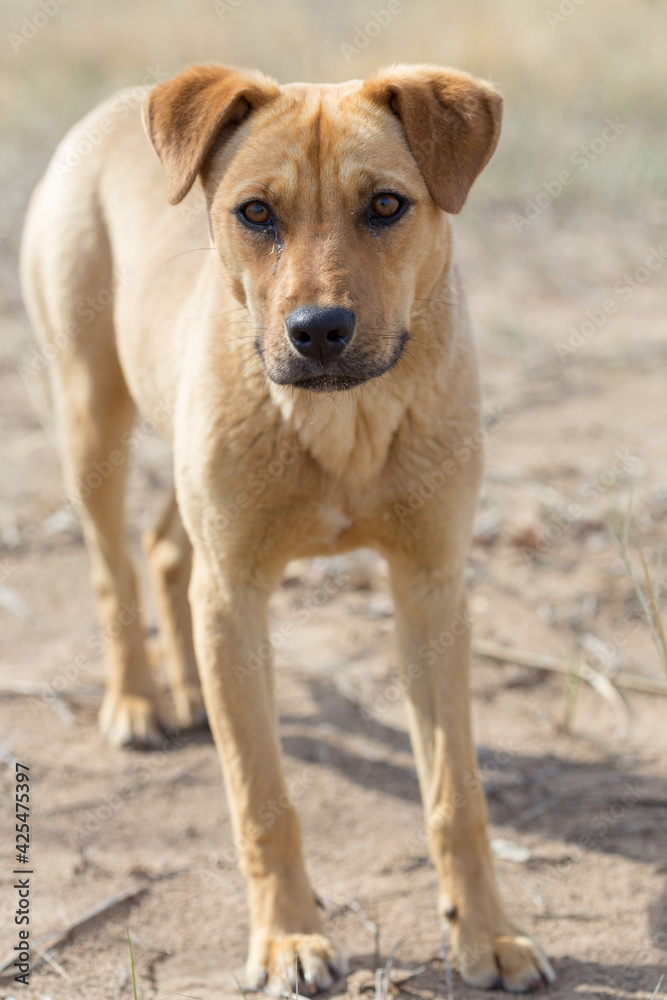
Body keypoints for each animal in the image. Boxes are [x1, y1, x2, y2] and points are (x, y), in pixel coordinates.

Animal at [19, 62, 552, 992]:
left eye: (386, 205)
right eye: (256, 212)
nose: (318, 332)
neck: (344, 421)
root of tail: (118, 104)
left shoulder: (430, 588)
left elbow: (456, 797)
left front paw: (485, 933)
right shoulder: (236, 592)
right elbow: (262, 800)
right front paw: (287, 940)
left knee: (164, 551)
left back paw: (191, 689)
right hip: (91, 422)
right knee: (112, 567)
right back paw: (137, 700)